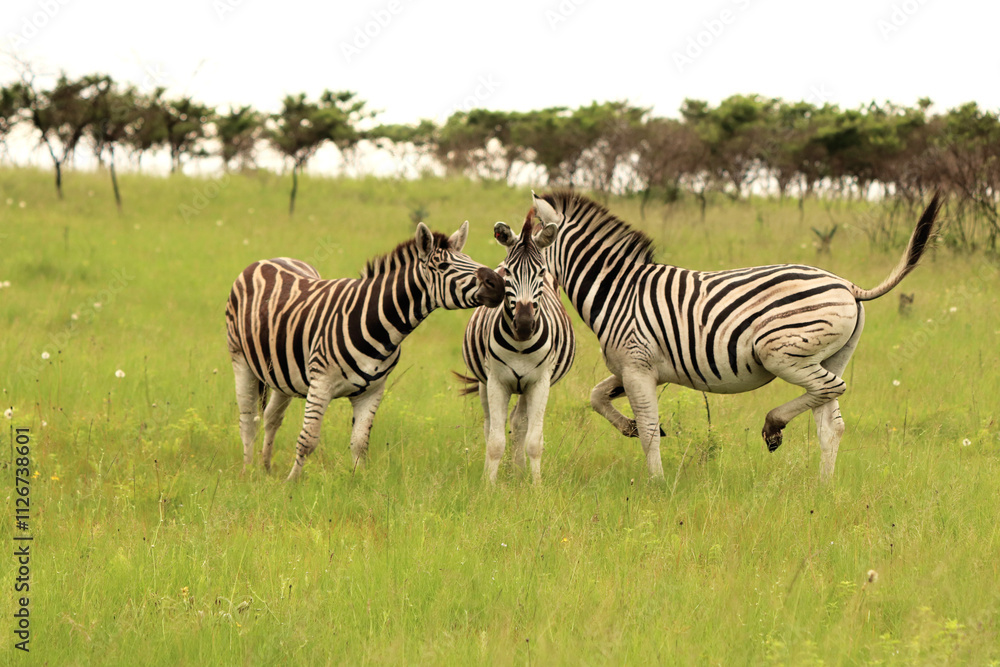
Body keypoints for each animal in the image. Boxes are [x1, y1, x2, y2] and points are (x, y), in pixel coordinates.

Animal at [226, 221, 504, 481]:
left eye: (469, 259)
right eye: (444, 267)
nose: (499, 284)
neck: (380, 327)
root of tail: (268, 260)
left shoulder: (373, 390)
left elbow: (359, 444)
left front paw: (357, 483)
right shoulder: (321, 382)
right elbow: (308, 440)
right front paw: (291, 484)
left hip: (282, 372)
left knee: (271, 416)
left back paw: (266, 468)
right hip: (241, 360)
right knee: (248, 420)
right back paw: (247, 471)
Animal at [455, 214, 576, 483]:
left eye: (541, 272)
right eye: (508, 273)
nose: (523, 324)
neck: (521, 345)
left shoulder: (540, 382)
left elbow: (534, 441)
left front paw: (536, 486)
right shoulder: (496, 381)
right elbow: (495, 441)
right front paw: (488, 486)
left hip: (526, 386)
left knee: (519, 424)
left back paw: (518, 472)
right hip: (485, 381)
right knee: (491, 425)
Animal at [530, 190, 940, 481]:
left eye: (528, 246)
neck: (618, 291)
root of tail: (848, 285)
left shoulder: (637, 365)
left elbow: (646, 429)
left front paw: (657, 483)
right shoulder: (635, 368)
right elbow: (597, 396)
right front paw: (627, 426)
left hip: (781, 353)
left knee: (830, 389)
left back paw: (774, 425)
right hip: (830, 356)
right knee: (831, 423)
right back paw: (823, 487)